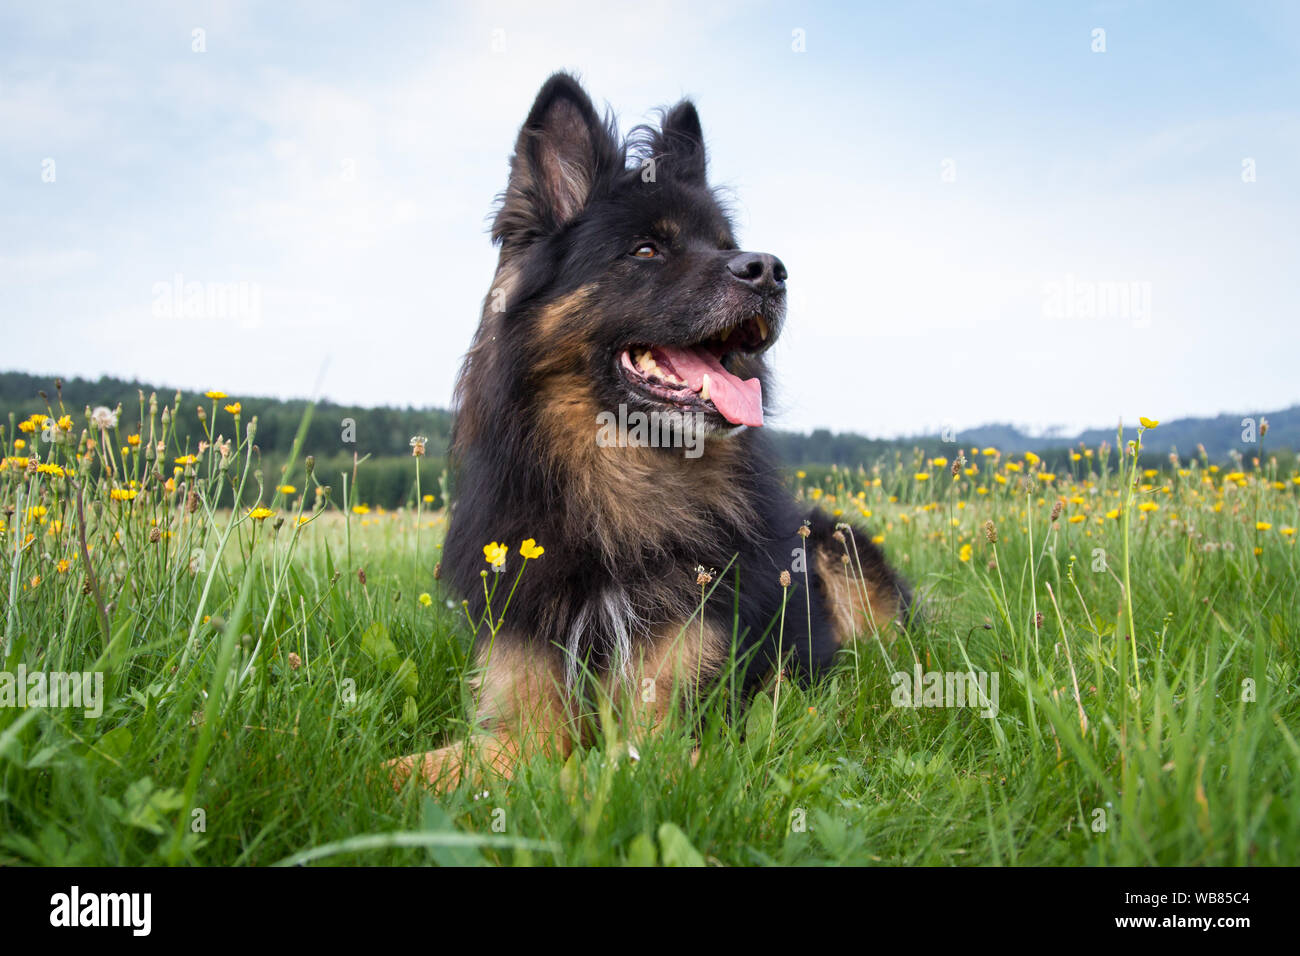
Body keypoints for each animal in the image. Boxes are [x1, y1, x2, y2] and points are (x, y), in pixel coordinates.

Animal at [390, 72, 909, 790]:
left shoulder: (663, 735)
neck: (620, 495)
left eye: (726, 246)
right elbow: (391, 769)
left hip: (836, 548)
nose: (770, 271)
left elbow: (584, 776)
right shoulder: (520, 724)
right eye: (645, 250)